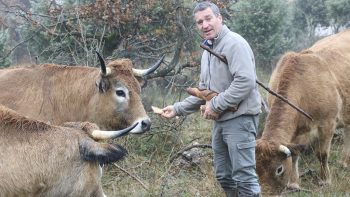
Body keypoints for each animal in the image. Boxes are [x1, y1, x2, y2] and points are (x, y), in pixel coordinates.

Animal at [254, 29, 350, 195]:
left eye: (279, 169)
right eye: (256, 169)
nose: (265, 194)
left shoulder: (328, 124)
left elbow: (322, 154)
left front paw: (325, 180)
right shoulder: (296, 132)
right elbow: (294, 155)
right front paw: (293, 184)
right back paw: (345, 162)